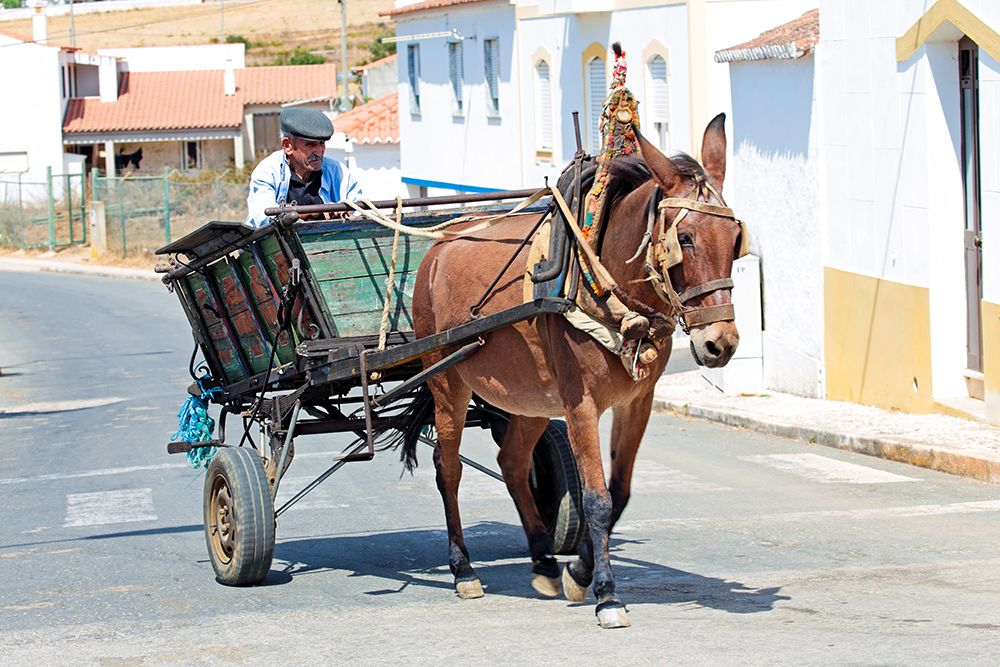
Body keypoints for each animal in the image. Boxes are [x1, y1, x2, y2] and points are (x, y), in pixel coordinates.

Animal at [404, 114, 742, 628]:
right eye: (683, 240)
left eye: (736, 240)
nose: (719, 343)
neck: (600, 283)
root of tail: (436, 247)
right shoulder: (581, 405)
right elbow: (596, 498)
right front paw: (606, 594)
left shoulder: (636, 403)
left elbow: (618, 492)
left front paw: (578, 573)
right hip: (448, 383)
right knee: (449, 470)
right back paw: (463, 570)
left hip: (531, 400)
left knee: (513, 463)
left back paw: (544, 560)